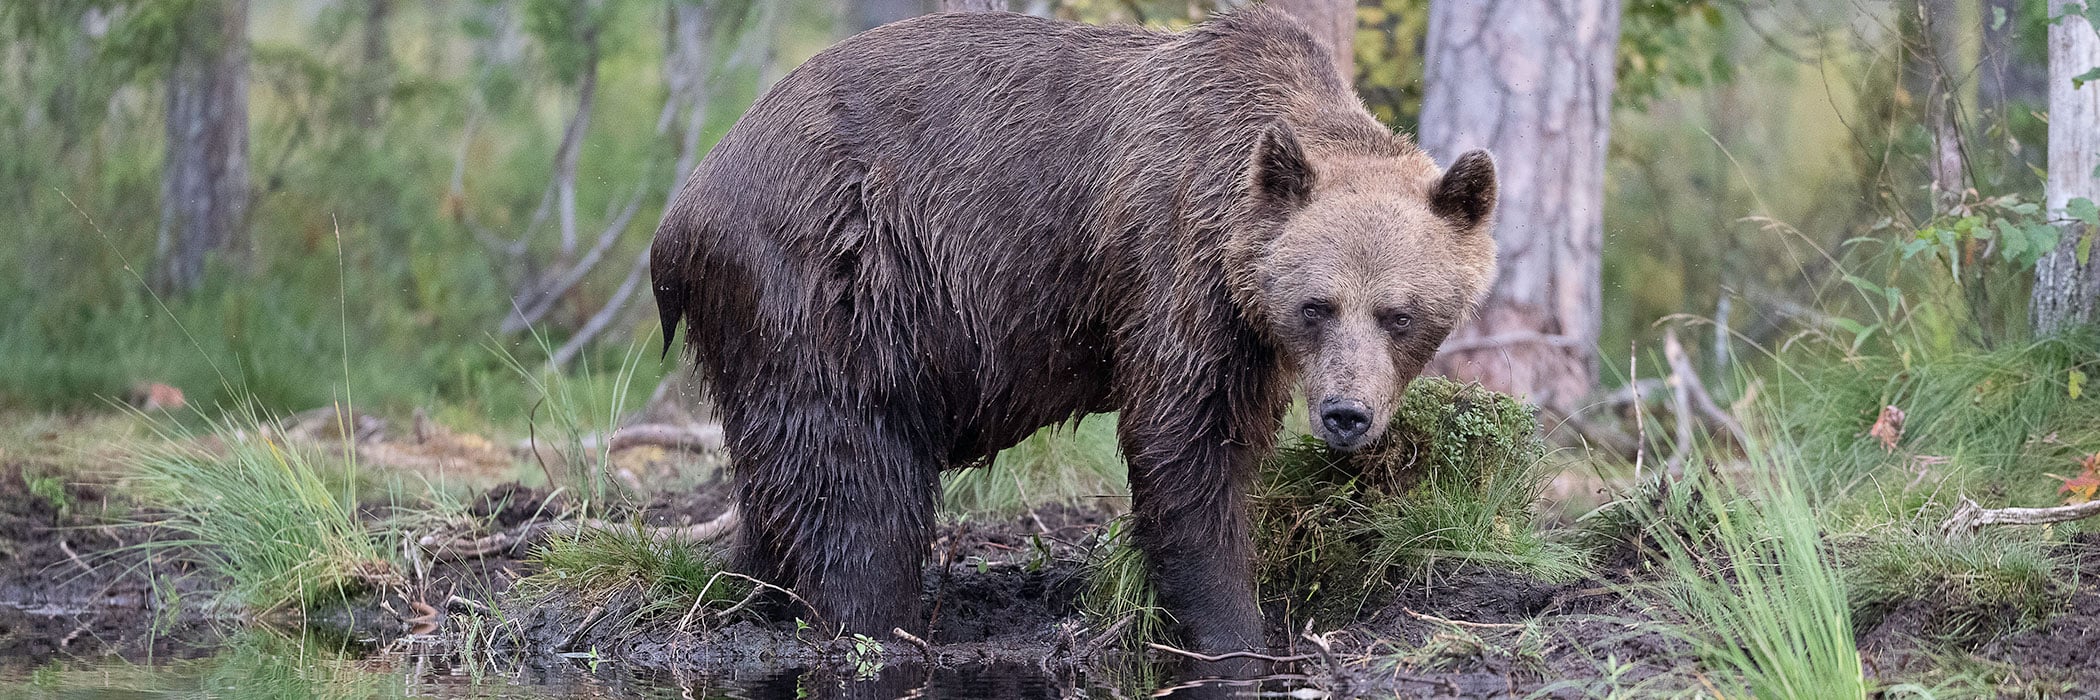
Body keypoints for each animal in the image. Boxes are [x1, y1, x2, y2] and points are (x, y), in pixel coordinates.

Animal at [649, 6, 1497, 653]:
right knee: (856, 473)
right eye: (1316, 305)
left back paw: (750, 588)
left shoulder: (1248, 336)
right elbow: (1185, 445)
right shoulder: (1176, 269)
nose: (1345, 414)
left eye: (1399, 313)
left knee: (779, 469)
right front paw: (1234, 630)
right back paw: (871, 622)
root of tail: (682, 213)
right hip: (826, 278)